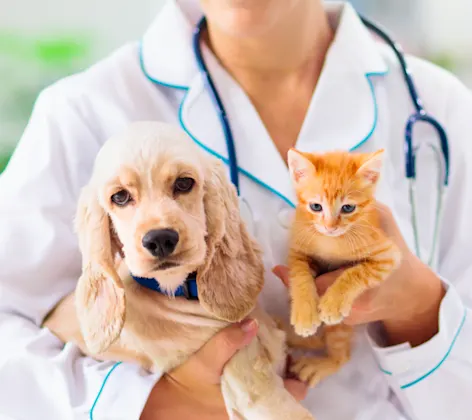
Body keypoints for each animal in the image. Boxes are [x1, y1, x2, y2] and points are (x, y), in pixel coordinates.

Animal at [284, 148, 402, 388]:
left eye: (348, 208)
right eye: (315, 206)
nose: (330, 227)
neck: (331, 242)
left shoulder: (388, 254)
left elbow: (356, 272)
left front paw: (333, 303)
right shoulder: (298, 249)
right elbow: (299, 275)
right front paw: (304, 313)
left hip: (341, 328)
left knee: (341, 355)